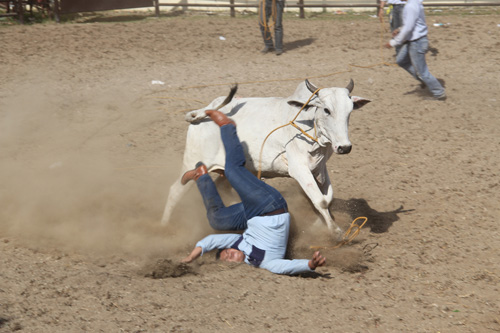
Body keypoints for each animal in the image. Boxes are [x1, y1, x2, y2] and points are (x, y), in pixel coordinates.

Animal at [162, 78, 370, 233]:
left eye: (350, 111)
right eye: (327, 110)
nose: (344, 147)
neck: (309, 125)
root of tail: (205, 110)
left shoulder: (319, 167)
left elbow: (328, 198)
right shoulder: (299, 169)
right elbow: (320, 200)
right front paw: (335, 231)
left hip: (226, 170)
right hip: (192, 161)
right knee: (174, 191)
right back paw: (164, 226)